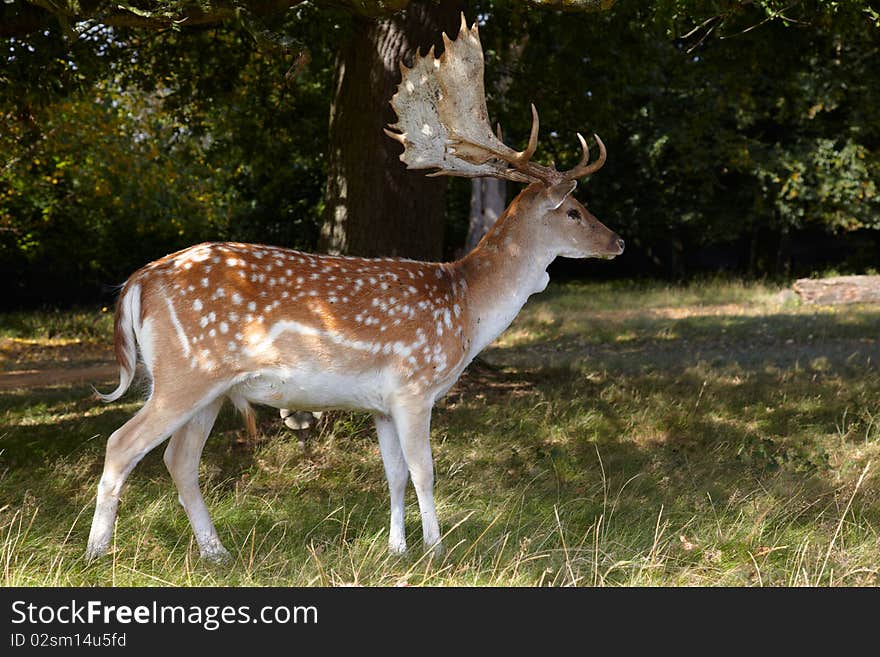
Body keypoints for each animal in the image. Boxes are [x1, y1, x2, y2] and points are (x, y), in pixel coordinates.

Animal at [82, 14, 620, 564]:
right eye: (574, 212)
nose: (617, 241)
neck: (466, 306)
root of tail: (137, 282)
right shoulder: (413, 385)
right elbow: (425, 472)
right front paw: (436, 550)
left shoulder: (380, 405)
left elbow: (395, 475)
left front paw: (397, 548)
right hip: (185, 372)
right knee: (121, 444)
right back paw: (97, 554)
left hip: (210, 388)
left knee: (179, 459)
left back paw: (217, 554)